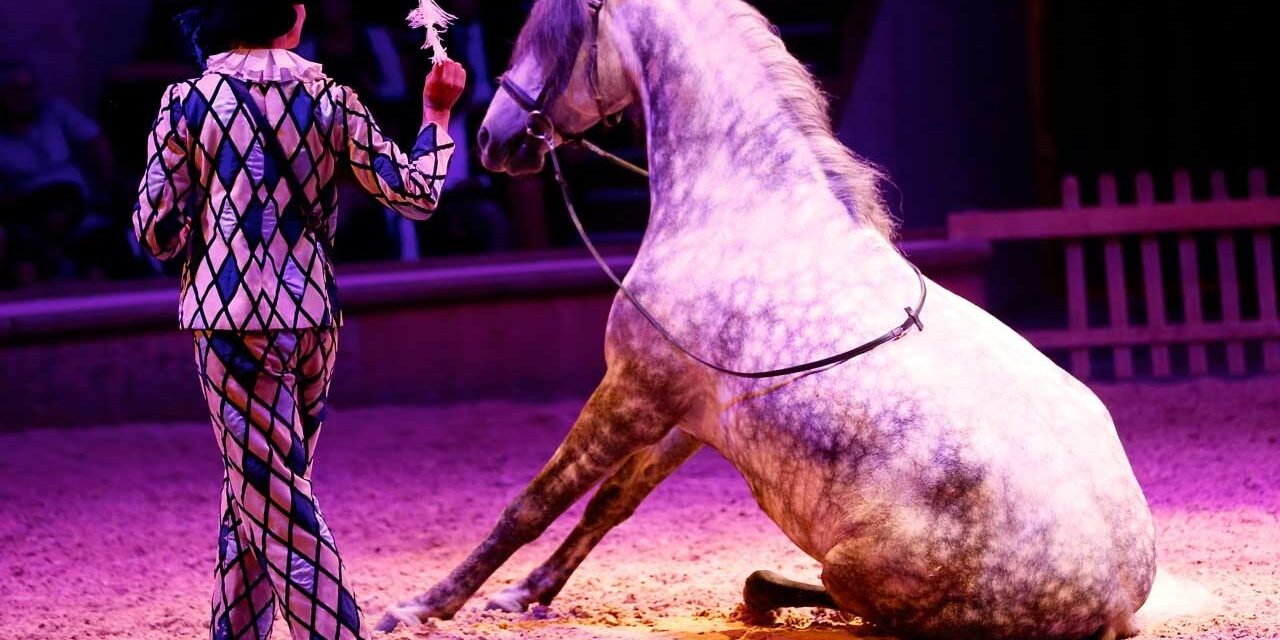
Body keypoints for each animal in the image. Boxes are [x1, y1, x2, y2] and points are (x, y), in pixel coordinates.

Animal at [378, 1, 1158, 638]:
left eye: (545, 26)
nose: (491, 137)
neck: (741, 207)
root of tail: (1118, 601)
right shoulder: (689, 416)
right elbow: (612, 502)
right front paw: (526, 593)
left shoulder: (632, 391)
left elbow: (535, 502)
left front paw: (423, 606)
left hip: (856, 572)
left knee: (838, 603)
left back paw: (762, 596)